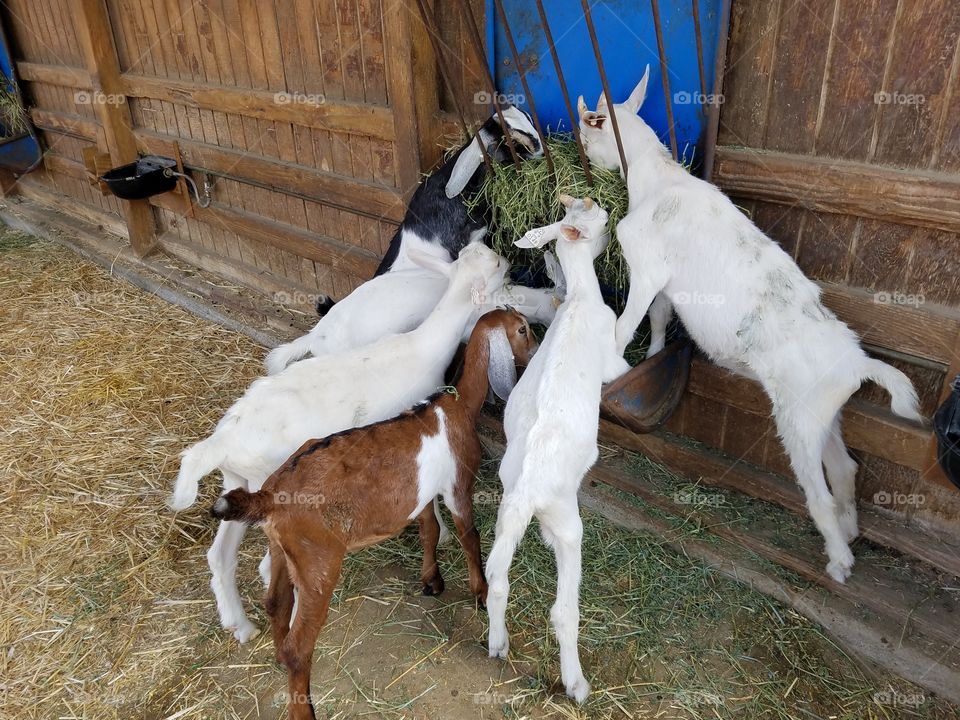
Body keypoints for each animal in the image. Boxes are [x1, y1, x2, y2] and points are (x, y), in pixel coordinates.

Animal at [168, 242, 509, 642]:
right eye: (498, 267)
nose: (509, 261)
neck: (423, 346)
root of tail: (223, 440)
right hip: (273, 489)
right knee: (269, 568)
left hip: (238, 482)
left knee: (219, 556)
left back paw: (241, 626)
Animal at [211, 308, 537, 720]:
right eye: (523, 329)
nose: (537, 349)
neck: (458, 404)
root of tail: (270, 497)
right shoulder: (457, 484)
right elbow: (468, 534)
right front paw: (479, 592)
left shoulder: (420, 493)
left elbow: (429, 529)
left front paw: (432, 581)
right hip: (319, 562)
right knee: (300, 647)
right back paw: (304, 706)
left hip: (283, 549)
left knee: (276, 604)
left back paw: (277, 657)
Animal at [485, 195, 630, 703]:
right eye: (597, 216)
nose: (613, 218)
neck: (581, 298)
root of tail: (529, 489)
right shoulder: (612, 358)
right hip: (569, 520)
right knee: (563, 610)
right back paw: (576, 683)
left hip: (507, 503)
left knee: (496, 579)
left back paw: (497, 644)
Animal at [578, 67, 922, 583]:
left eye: (586, 133)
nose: (579, 153)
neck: (659, 181)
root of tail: (858, 364)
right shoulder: (668, 284)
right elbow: (658, 318)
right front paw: (654, 357)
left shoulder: (647, 266)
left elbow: (625, 324)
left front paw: (609, 372)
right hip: (825, 413)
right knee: (845, 469)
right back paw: (850, 531)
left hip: (798, 420)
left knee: (819, 490)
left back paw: (839, 561)